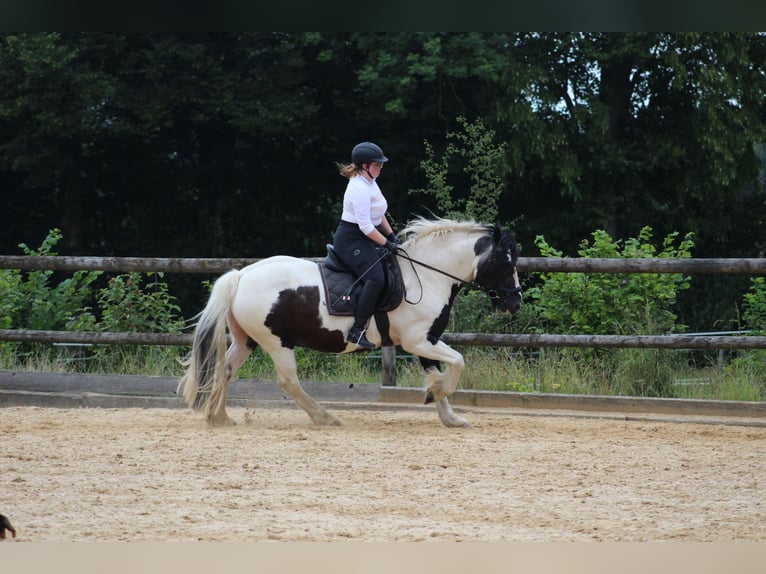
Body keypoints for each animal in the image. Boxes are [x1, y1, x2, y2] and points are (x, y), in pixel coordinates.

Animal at [178, 218, 520, 430]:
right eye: (505, 261)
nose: (514, 303)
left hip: (246, 339)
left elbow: (442, 370)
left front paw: (448, 413)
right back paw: (325, 418)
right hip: (277, 342)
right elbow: (458, 362)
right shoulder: (418, 341)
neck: (426, 276)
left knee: (225, 369)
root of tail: (241, 275)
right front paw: (434, 394)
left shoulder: (428, 340)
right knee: (288, 381)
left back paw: (220, 417)